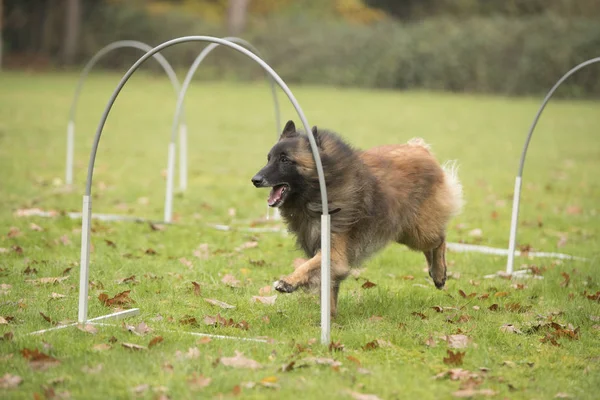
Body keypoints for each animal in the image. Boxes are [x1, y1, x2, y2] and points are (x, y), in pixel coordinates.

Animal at [251, 120, 462, 314]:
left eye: (285, 160)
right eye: (269, 159)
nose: (255, 180)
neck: (321, 186)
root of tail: (420, 148)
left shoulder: (336, 252)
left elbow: (309, 266)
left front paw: (288, 281)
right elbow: (327, 284)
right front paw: (331, 317)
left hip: (418, 231)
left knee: (440, 240)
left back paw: (439, 273)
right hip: (407, 232)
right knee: (431, 245)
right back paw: (434, 273)